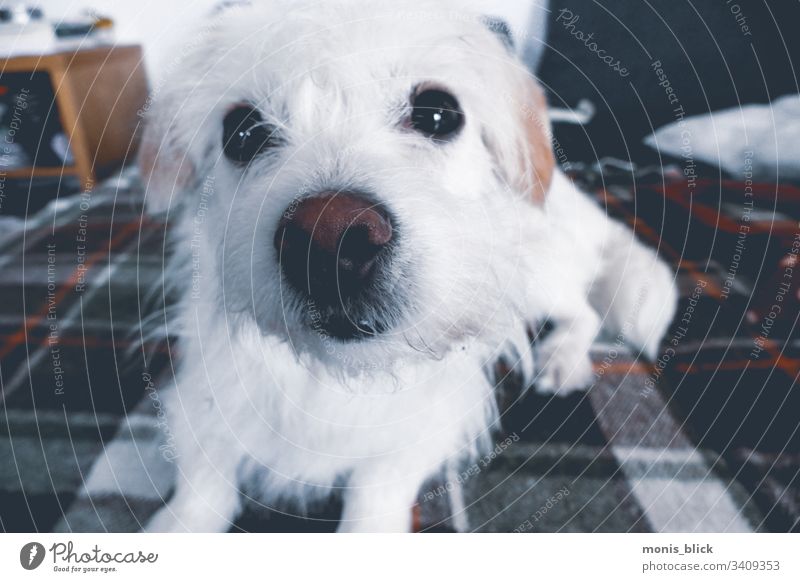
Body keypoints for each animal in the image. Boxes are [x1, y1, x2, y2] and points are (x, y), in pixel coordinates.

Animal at [141, 0, 680, 532]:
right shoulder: (205, 394)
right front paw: (178, 524)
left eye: (438, 113)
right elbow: (204, 474)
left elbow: (374, 493)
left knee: (583, 309)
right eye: (242, 131)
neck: (337, 375)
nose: (330, 240)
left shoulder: (418, 429)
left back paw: (562, 357)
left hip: (533, 277)